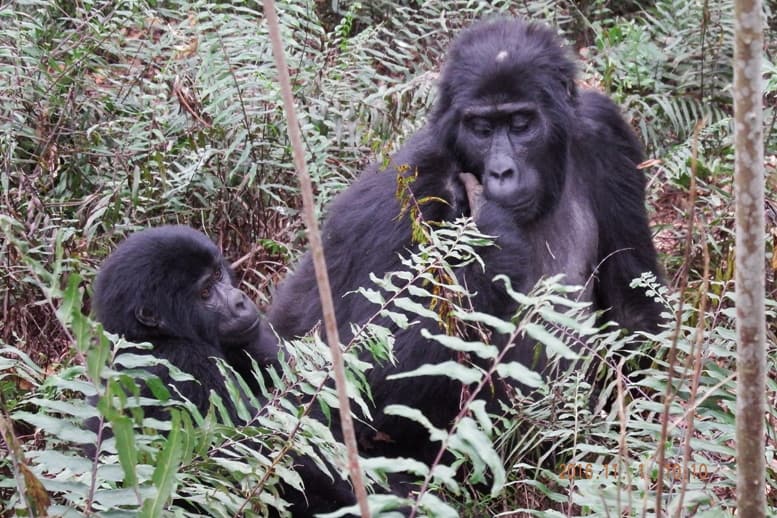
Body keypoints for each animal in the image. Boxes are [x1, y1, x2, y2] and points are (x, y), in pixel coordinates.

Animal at [91, 228, 354, 518]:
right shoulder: (188, 362)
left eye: (218, 274)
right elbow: (258, 451)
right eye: (205, 292)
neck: (146, 336)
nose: (239, 301)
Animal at [268, 19, 660, 468]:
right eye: (482, 129)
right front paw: (495, 243)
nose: (502, 171)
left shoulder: (606, 132)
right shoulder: (412, 182)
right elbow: (353, 367)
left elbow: (633, 305)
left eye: (521, 123)